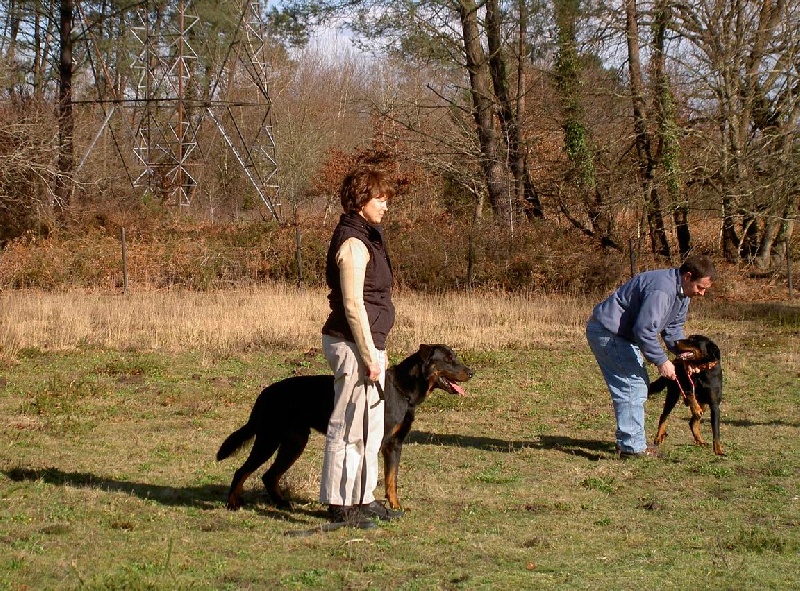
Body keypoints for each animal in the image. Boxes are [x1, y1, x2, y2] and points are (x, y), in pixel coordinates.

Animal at [216, 344, 472, 512]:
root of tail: (264, 394)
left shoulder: (394, 445)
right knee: (242, 470)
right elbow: (366, 479)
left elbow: (392, 480)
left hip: (294, 441)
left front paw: (396, 507)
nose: (471, 372)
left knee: (269, 475)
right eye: (448, 359)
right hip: (269, 439)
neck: (404, 389)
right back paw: (232, 503)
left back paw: (282, 504)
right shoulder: (375, 443)